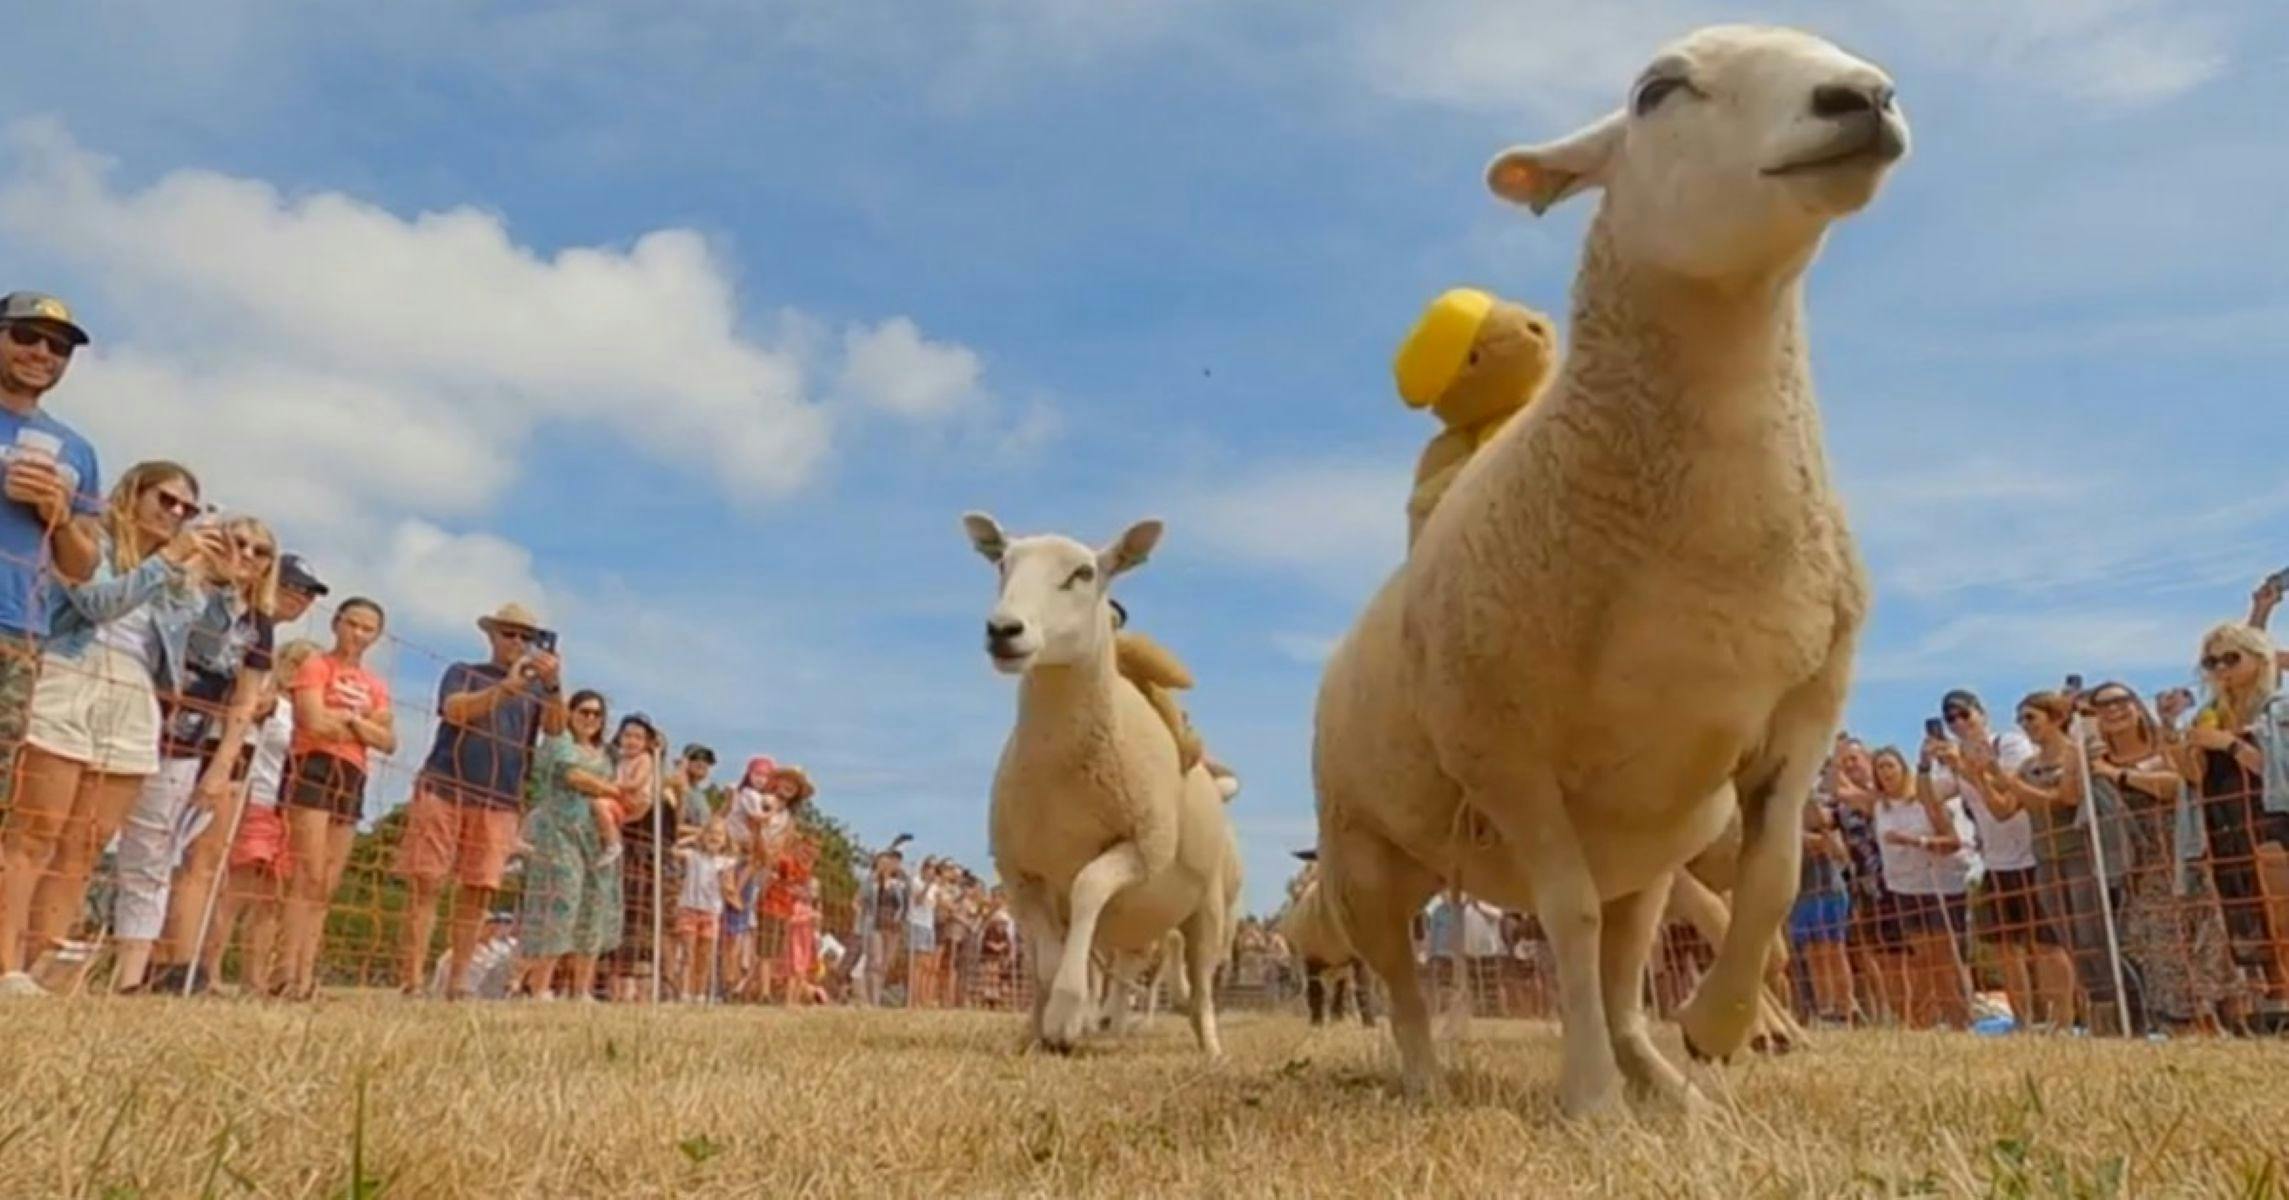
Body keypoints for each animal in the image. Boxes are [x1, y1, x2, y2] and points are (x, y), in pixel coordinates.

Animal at [963, 512, 1243, 1054]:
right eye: (1002, 564)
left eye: (1083, 573)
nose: (1003, 630)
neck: (1059, 776)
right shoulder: (1019, 871)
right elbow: (1045, 957)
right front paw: (1054, 1021)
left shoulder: (1144, 849)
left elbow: (1089, 886)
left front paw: (1068, 1011)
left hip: (1209, 909)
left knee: (1199, 984)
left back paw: (1210, 1046)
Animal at [1310, 24, 1905, 1117]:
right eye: (1657, 91)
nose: (1864, 97)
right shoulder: (1502, 748)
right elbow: (1567, 919)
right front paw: (1586, 1100)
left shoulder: (1805, 707)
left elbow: (1774, 880)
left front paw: (1714, 1028)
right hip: (1363, 855)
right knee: (1403, 978)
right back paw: (1426, 1079)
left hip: (1652, 844)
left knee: (1629, 968)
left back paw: (1671, 1083)